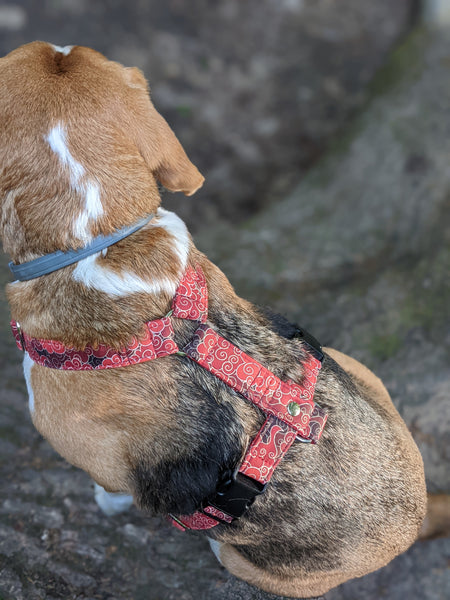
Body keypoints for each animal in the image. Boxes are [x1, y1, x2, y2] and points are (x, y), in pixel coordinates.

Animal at [0, 41, 428, 596]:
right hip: (351, 364)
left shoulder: (97, 461)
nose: (55, 45)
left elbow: (111, 489)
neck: (96, 241)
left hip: (242, 559)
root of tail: (413, 521)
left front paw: (106, 504)